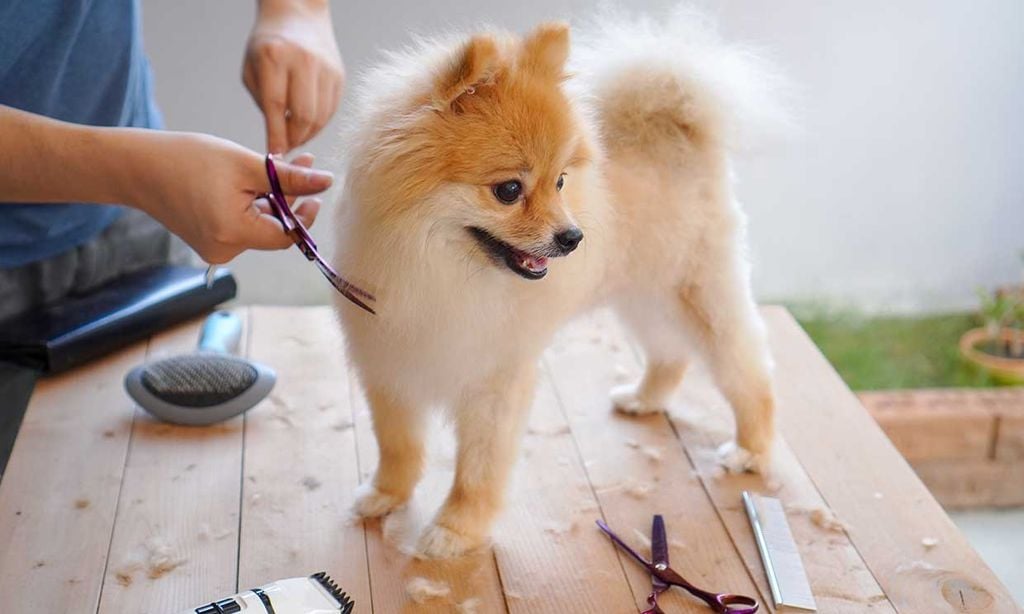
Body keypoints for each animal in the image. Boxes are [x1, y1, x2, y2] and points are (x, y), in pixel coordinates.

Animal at [335, 8, 782, 556]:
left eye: (561, 182)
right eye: (509, 190)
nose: (573, 237)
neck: (440, 268)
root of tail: (681, 126)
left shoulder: (495, 379)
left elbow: (477, 467)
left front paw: (455, 531)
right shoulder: (390, 359)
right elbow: (397, 445)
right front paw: (386, 496)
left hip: (698, 291)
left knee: (748, 370)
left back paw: (750, 449)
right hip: (643, 294)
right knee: (671, 351)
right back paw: (646, 398)